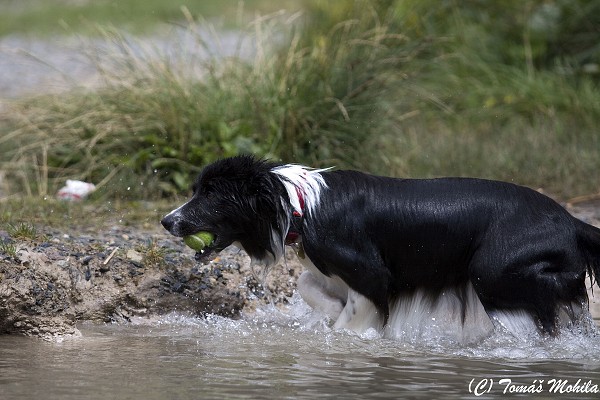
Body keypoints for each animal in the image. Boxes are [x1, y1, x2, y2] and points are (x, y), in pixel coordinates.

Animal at [162, 155, 600, 340]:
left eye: (210, 195)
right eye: (196, 190)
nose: (167, 221)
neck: (299, 205)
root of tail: (571, 220)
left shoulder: (372, 276)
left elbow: (353, 319)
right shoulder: (336, 274)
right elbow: (308, 284)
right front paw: (325, 314)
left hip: (492, 273)